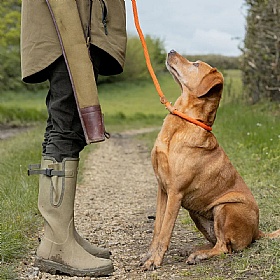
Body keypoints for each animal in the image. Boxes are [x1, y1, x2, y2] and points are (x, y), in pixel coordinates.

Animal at [141, 49, 278, 270]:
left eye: (196, 64)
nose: (170, 51)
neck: (183, 123)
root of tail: (257, 231)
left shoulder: (175, 193)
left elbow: (165, 232)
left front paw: (155, 260)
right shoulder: (162, 189)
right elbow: (157, 228)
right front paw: (149, 255)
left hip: (225, 207)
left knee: (224, 247)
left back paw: (199, 255)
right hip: (197, 213)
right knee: (217, 242)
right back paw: (195, 249)